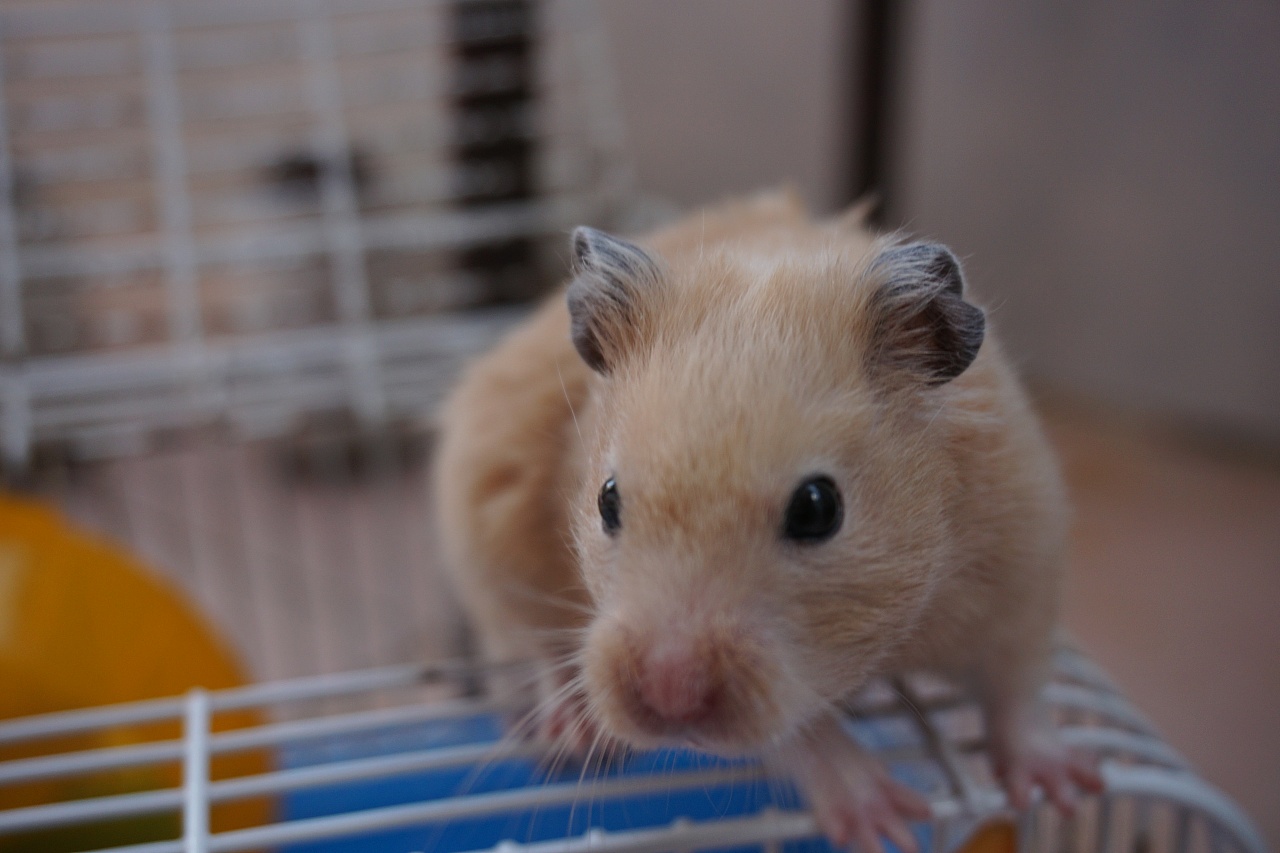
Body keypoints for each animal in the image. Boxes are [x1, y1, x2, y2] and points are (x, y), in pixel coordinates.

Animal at [434, 189, 1101, 851]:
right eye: (607, 500)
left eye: (818, 508)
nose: (669, 696)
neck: (885, 634)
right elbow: (803, 737)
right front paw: (886, 818)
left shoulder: (1022, 562)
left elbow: (1017, 686)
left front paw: (1065, 789)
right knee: (527, 643)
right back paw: (575, 732)